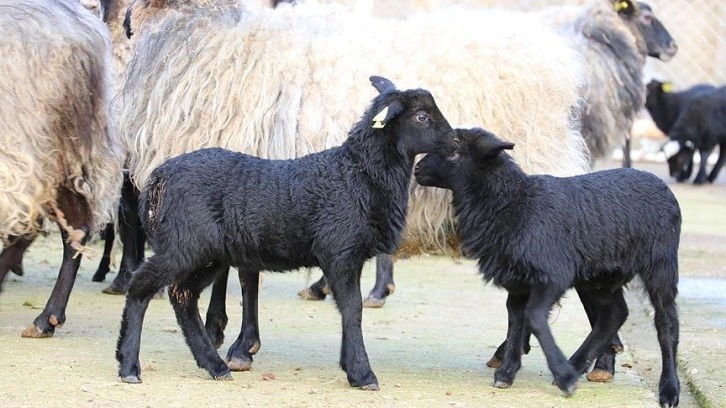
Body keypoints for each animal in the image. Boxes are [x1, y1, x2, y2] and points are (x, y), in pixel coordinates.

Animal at [114, 75, 458, 390]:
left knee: (183, 296)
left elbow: (350, 309)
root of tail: (158, 178)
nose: (455, 143)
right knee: (142, 285)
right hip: (184, 245)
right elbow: (353, 309)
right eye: (422, 117)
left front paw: (350, 366)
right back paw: (129, 365)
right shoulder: (339, 252)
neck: (359, 173)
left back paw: (215, 365)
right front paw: (362, 374)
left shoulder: (351, 256)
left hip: (207, 254)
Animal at [416, 127, 684, 408]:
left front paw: (562, 376)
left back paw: (668, 389)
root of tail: (659, 183)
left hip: (661, 264)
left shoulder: (552, 276)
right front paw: (507, 372)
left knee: (666, 323)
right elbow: (515, 320)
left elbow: (533, 317)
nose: (417, 169)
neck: (513, 203)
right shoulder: (518, 282)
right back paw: (577, 364)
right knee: (614, 314)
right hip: (600, 276)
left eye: (455, 150)